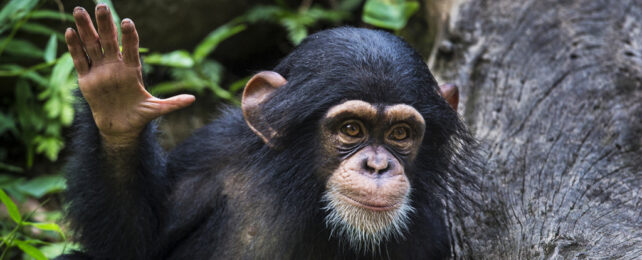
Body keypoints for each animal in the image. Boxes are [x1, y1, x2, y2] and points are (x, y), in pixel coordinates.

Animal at [58, 4, 476, 260]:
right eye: (351, 129)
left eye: (400, 134)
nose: (377, 166)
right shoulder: (212, 156)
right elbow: (132, 243)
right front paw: (117, 101)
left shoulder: (430, 236)